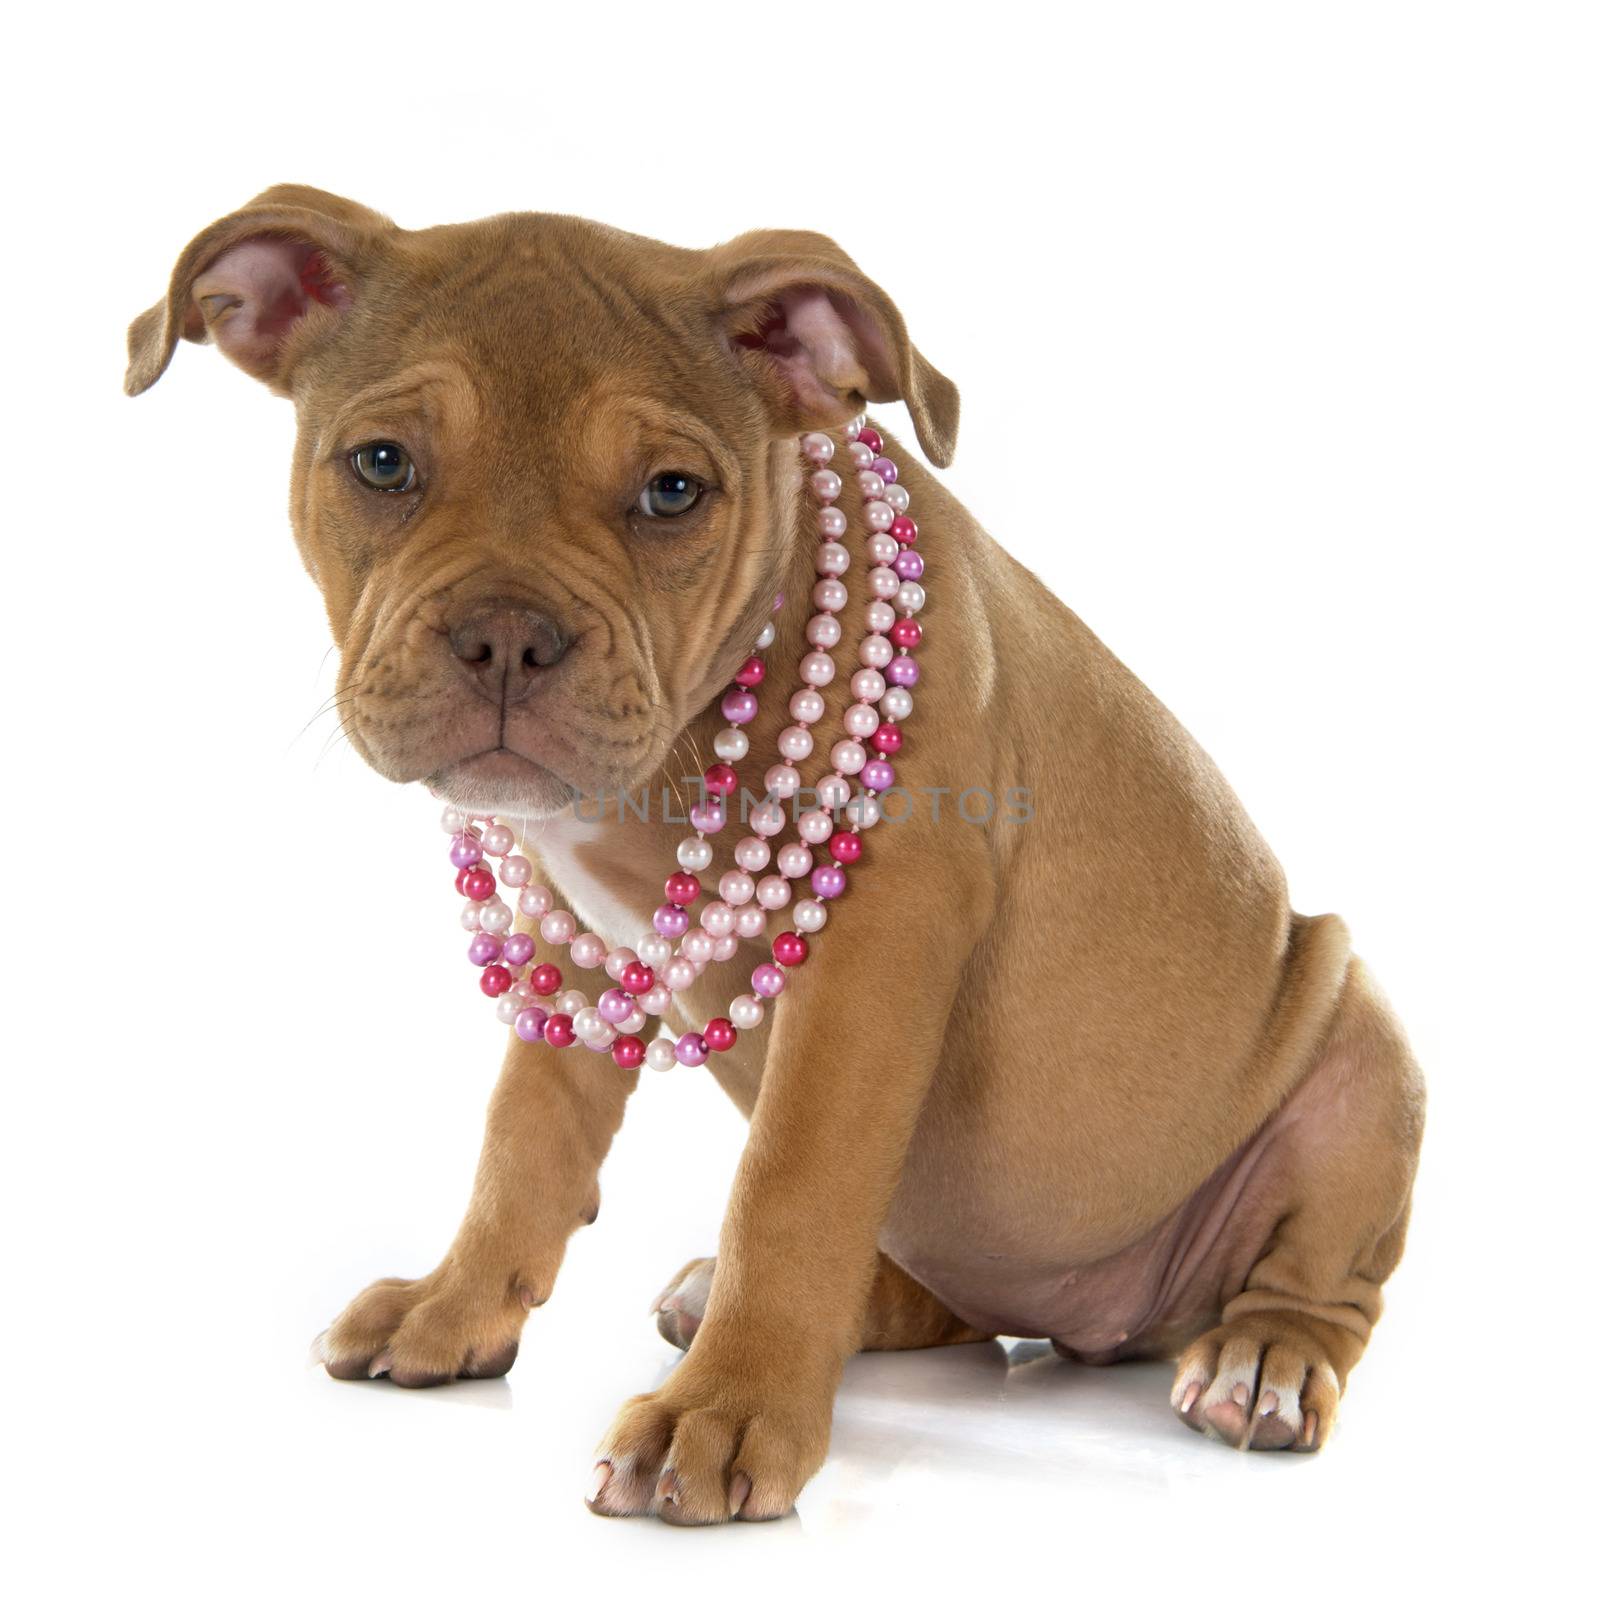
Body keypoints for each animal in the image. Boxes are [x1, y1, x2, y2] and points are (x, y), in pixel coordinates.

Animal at [124, 187, 1427, 1523]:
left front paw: (728, 1406)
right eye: (381, 463)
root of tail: (1097, 1325)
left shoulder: (871, 961)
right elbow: (522, 1142)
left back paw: (1262, 1361)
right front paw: (458, 1302)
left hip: (1361, 1055)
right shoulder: (570, 954)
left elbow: (791, 1188)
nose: (505, 635)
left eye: (672, 491)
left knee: (1323, 1288)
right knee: (937, 1298)